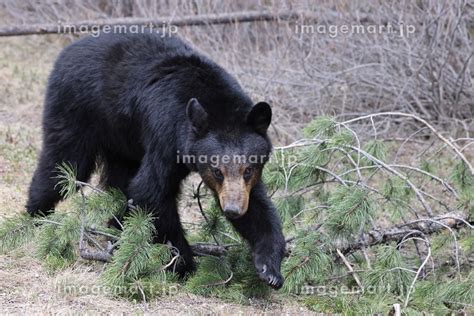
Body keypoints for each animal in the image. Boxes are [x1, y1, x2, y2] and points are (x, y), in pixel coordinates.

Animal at [26, 32, 286, 288]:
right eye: (217, 171)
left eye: (248, 169)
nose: (233, 210)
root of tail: (68, 49)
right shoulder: (165, 135)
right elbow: (150, 191)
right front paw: (184, 263)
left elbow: (258, 205)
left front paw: (269, 268)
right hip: (76, 108)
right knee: (63, 165)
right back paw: (35, 217)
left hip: (121, 137)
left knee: (118, 180)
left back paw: (117, 231)